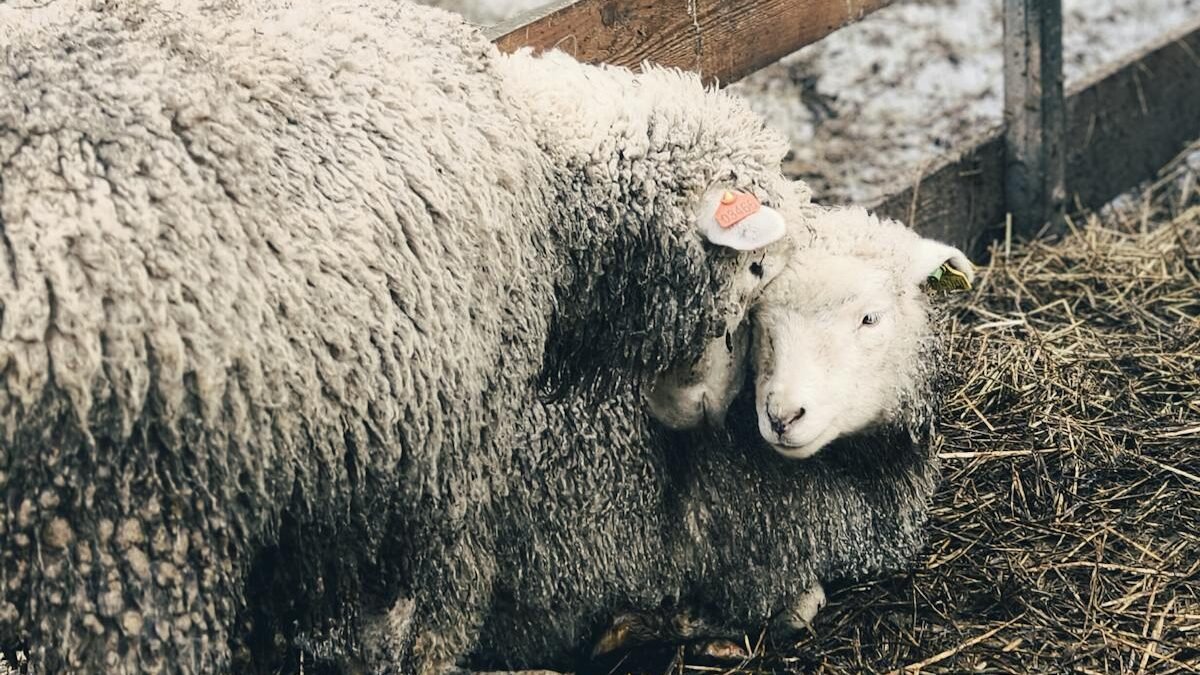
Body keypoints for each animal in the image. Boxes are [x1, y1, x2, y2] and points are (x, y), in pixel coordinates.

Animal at [0, 0, 807, 672]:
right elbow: (444, 585)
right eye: (755, 265)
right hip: (116, 517)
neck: (539, 161)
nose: (714, 413)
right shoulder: (449, 436)